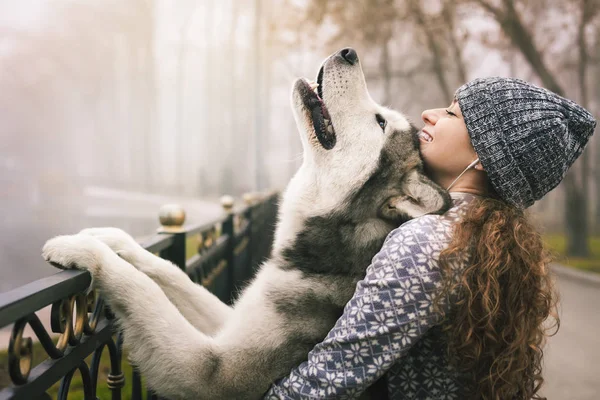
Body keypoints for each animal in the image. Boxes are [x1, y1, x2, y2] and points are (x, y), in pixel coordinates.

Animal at [42, 48, 452, 398]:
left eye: (380, 122)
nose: (349, 52)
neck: (327, 257)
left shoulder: (213, 373)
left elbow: (140, 288)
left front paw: (82, 251)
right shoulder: (230, 320)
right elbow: (170, 273)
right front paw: (110, 237)